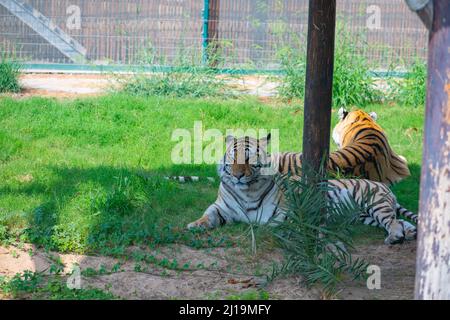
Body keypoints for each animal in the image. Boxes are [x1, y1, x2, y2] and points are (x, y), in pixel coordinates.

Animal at [185, 133, 416, 245]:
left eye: (249, 159)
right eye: (233, 158)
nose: (238, 175)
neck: (246, 191)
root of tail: (385, 187)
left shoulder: (286, 211)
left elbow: (272, 224)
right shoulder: (221, 208)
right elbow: (208, 215)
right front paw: (194, 225)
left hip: (376, 204)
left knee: (393, 222)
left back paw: (395, 237)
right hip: (367, 216)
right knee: (399, 221)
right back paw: (410, 233)